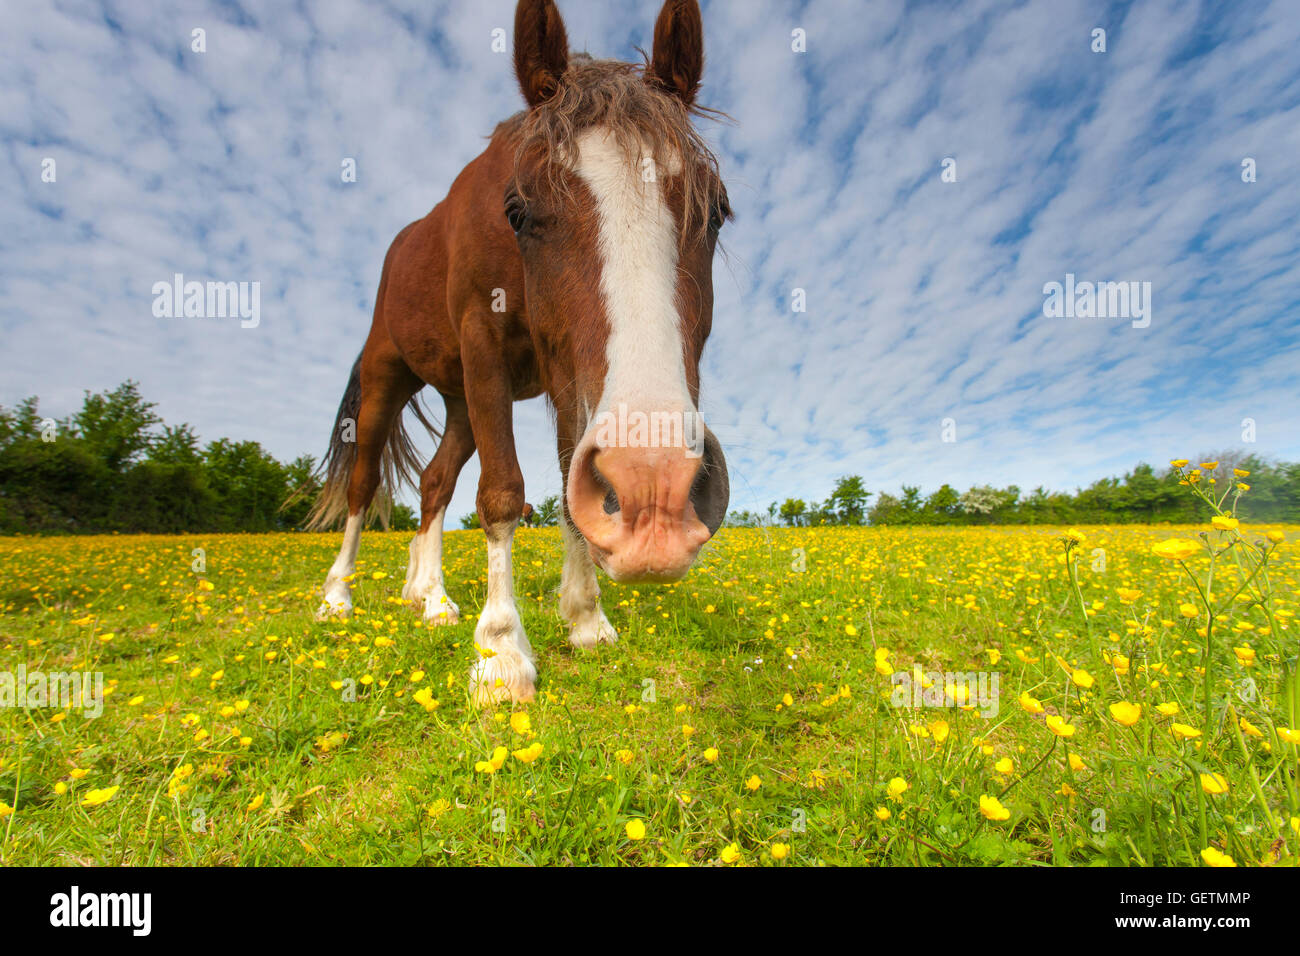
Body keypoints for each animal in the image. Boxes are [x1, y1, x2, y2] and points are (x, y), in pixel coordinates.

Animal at [307, 0, 731, 705]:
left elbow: (565, 483)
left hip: (460, 402)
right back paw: (338, 595)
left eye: (719, 210)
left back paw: (431, 597)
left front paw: (586, 618)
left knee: (434, 483)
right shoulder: (485, 344)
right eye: (519, 211)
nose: (657, 490)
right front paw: (502, 650)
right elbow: (503, 492)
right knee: (365, 483)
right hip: (388, 377)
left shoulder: (561, 374)